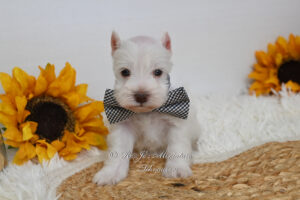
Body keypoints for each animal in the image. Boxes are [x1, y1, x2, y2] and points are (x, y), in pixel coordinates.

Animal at [92, 32, 200, 185]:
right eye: (125, 72)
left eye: (158, 72)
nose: (141, 96)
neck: (147, 112)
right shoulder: (122, 127)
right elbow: (118, 151)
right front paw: (111, 173)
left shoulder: (176, 124)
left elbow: (177, 147)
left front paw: (176, 168)